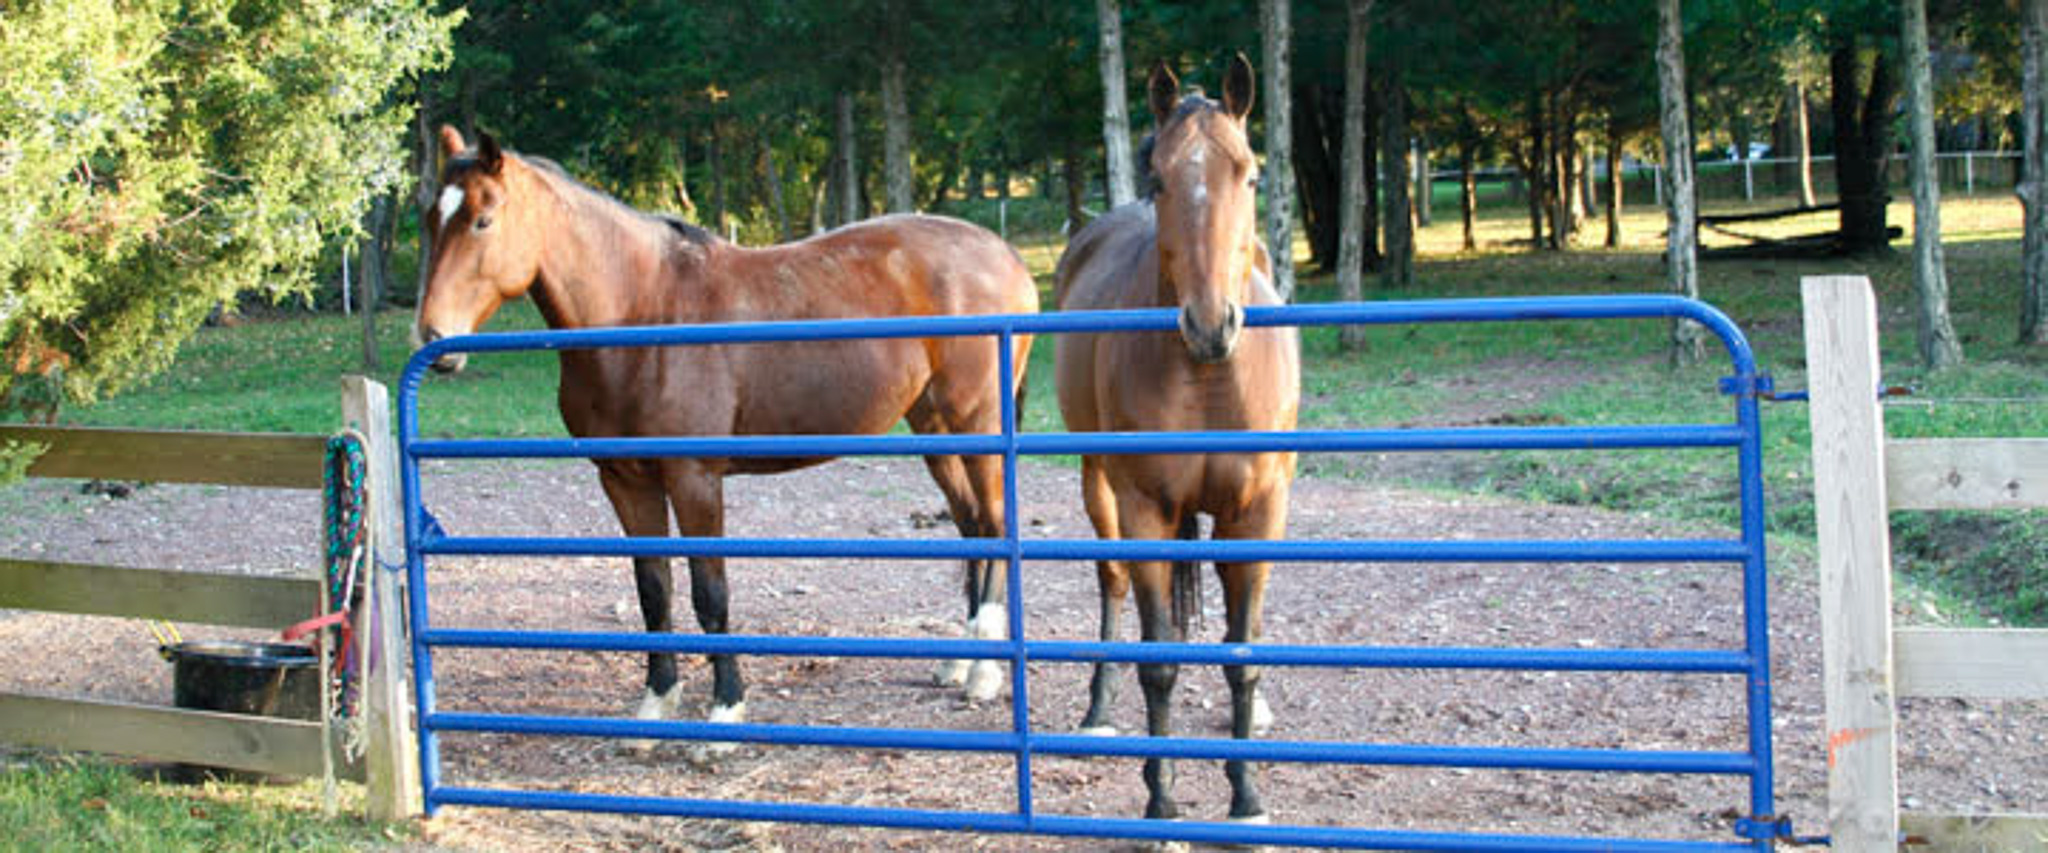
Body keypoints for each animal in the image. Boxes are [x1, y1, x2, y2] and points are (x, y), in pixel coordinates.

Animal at [415, 127, 1038, 740]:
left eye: (483, 220)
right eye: (429, 219)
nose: (433, 337)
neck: (643, 314)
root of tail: (1005, 256)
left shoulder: (695, 479)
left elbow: (710, 593)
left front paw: (724, 714)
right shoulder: (624, 481)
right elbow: (654, 591)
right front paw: (656, 705)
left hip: (977, 421)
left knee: (995, 522)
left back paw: (985, 673)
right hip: (937, 429)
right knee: (972, 526)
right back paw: (961, 660)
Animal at [1052, 56, 1300, 825]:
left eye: (1249, 173)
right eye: (1159, 178)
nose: (1209, 323)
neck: (1210, 378)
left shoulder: (1257, 514)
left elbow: (1242, 654)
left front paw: (1246, 798)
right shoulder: (1146, 512)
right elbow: (1159, 659)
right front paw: (1161, 801)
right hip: (1098, 485)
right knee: (1111, 581)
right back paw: (1097, 708)